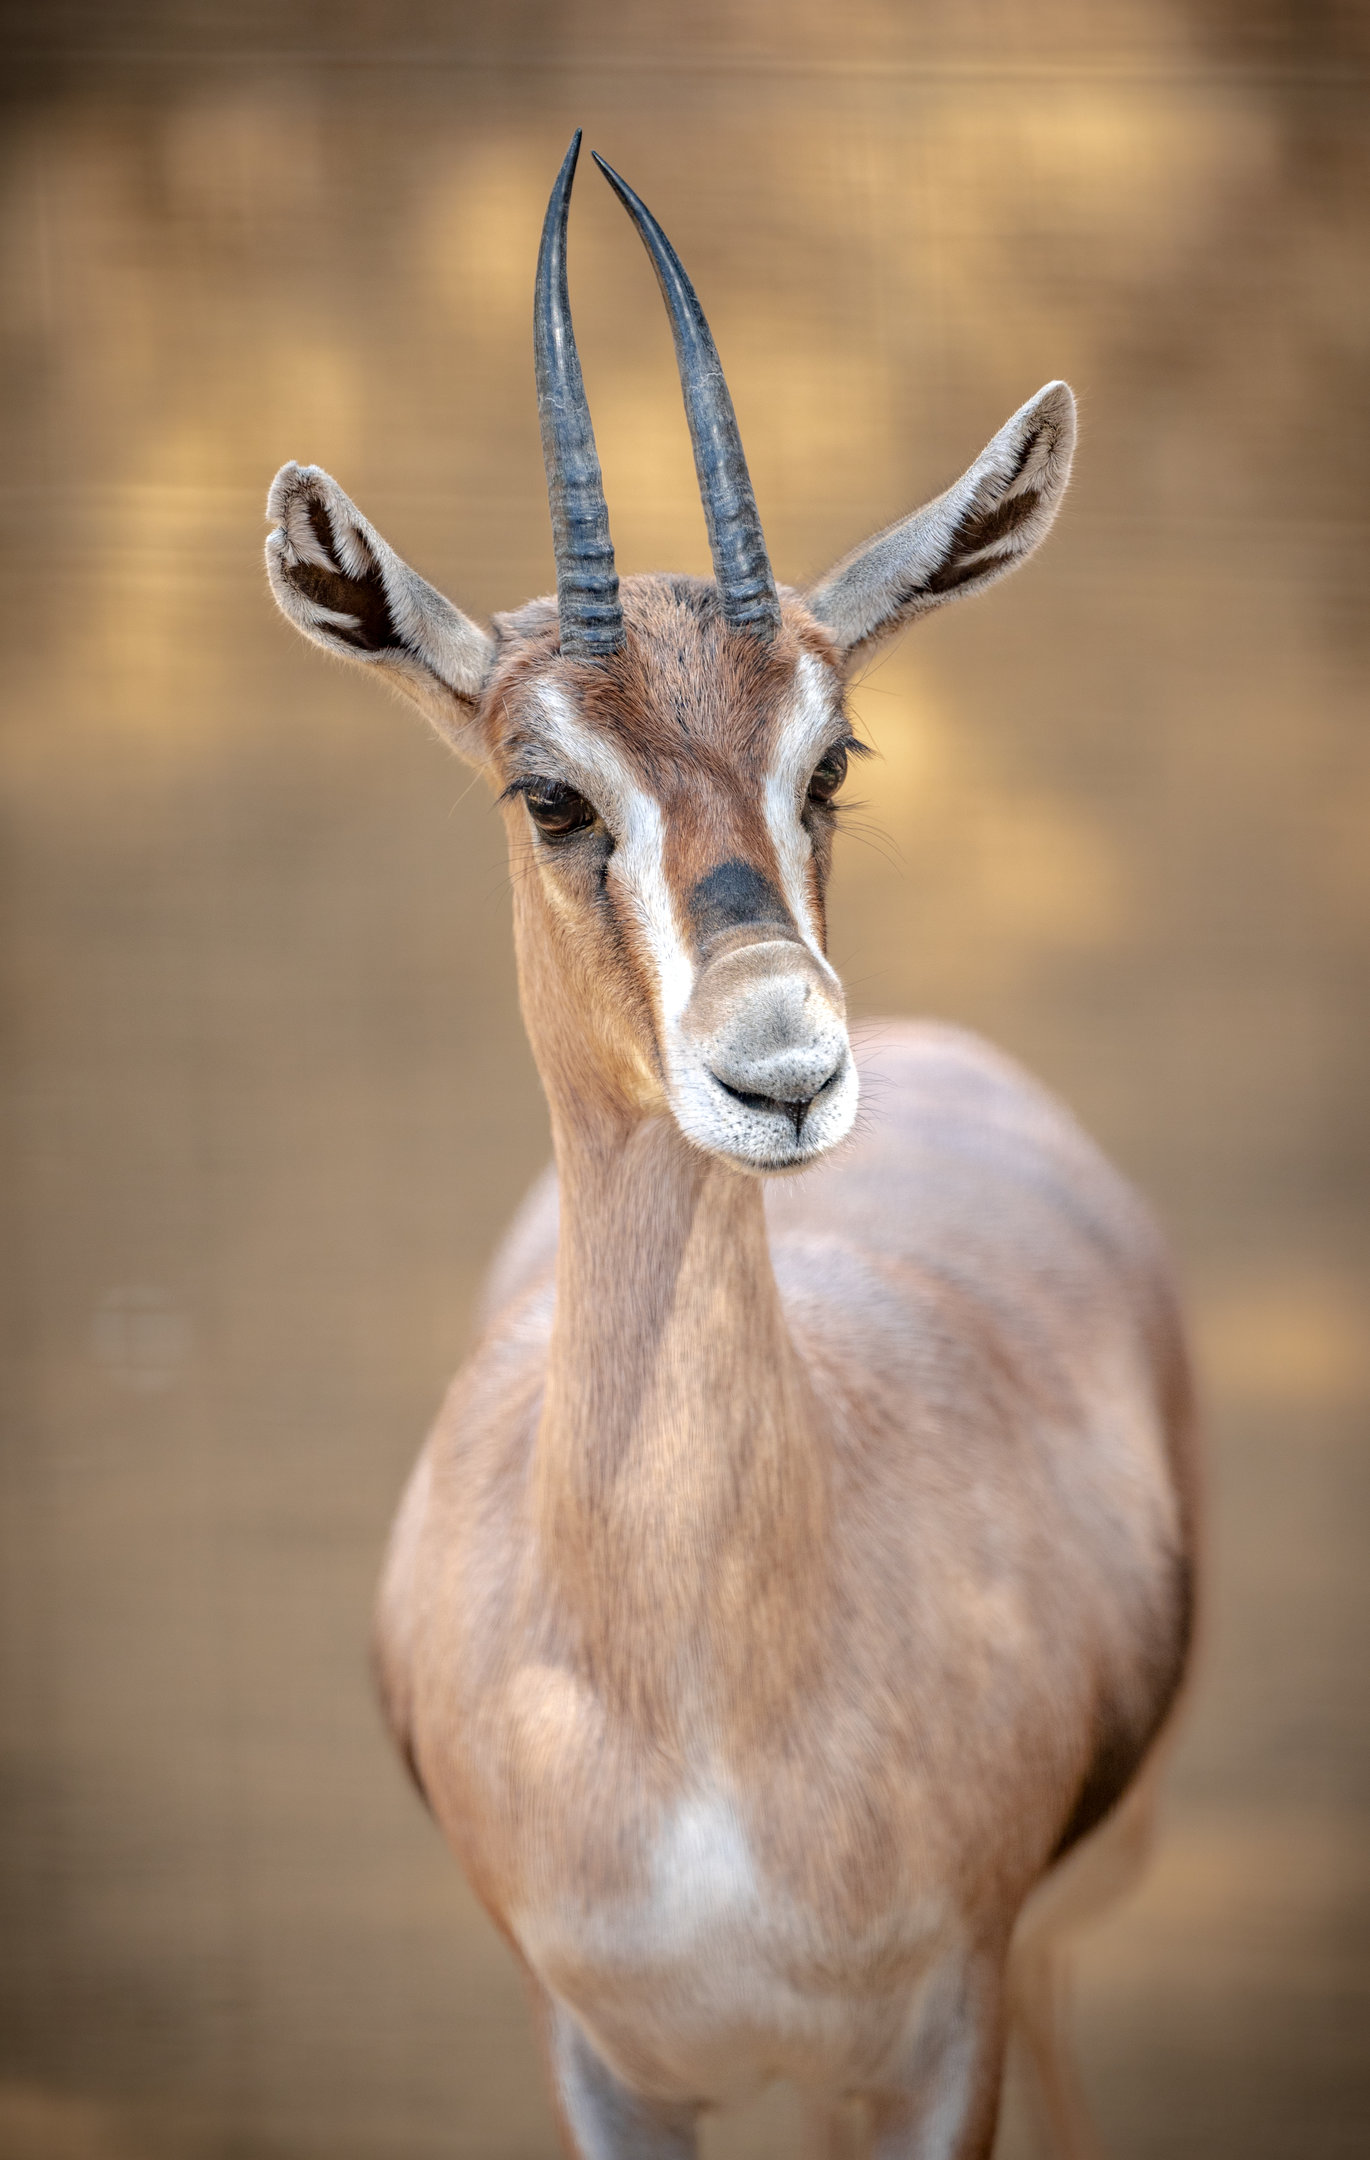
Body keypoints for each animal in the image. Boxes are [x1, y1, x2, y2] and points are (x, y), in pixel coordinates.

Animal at [265, 135, 1196, 2160]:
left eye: (829, 760)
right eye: (549, 793)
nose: (782, 1069)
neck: (695, 1710)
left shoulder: (938, 2043)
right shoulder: (602, 2054)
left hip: (1065, 1931)